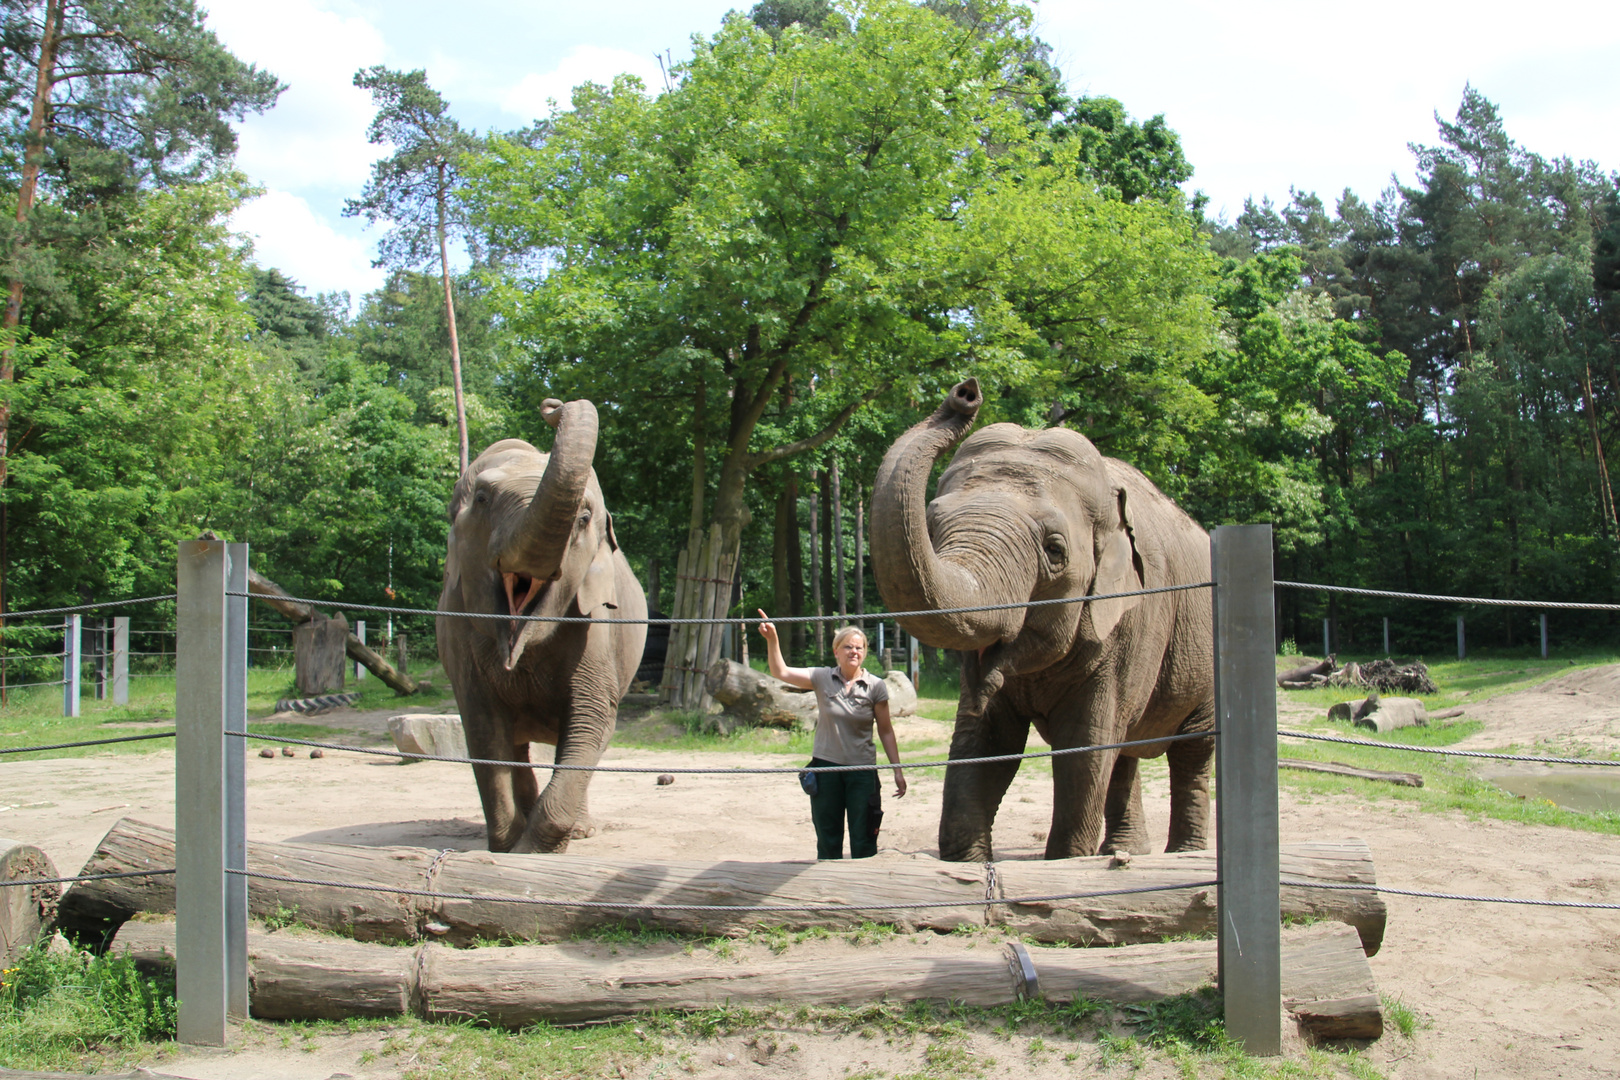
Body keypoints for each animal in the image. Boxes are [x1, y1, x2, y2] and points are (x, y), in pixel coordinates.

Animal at [443, 396, 651, 854]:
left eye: (584, 517)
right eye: (481, 498)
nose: (552, 405)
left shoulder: (595, 625)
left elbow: (591, 718)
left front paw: (533, 851)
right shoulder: (459, 630)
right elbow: (483, 730)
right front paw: (506, 846)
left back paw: (581, 830)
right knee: (518, 747)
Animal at [874, 380, 1218, 861]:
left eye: (1055, 550)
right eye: (933, 524)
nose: (965, 394)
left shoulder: (1135, 620)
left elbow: (1085, 748)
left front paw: (1067, 861)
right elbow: (984, 741)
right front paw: (970, 862)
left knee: (1193, 751)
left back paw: (1184, 855)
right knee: (1127, 753)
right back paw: (1124, 853)